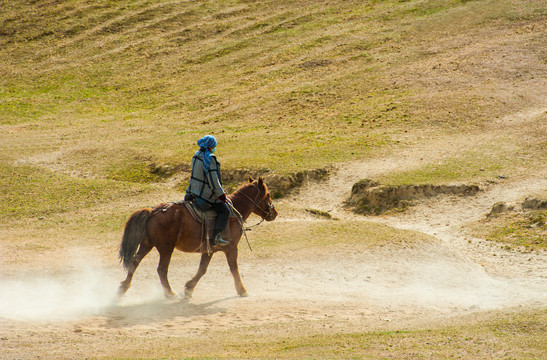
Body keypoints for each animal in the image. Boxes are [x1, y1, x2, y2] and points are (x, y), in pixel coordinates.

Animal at [117, 176, 276, 298]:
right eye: (268, 195)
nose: (274, 213)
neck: (234, 210)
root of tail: (153, 211)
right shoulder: (231, 248)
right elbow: (234, 268)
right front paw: (242, 290)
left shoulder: (209, 250)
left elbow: (202, 269)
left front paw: (189, 288)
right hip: (166, 248)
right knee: (161, 269)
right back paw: (170, 293)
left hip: (147, 244)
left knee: (134, 263)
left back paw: (123, 287)